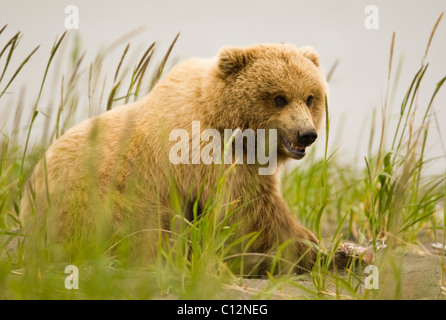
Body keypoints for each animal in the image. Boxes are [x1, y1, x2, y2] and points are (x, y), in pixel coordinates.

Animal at [20, 42, 328, 272]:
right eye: (279, 98)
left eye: (310, 97)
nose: (306, 134)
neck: (226, 121)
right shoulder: (208, 155)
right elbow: (248, 209)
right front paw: (310, 246)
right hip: (99, 204)